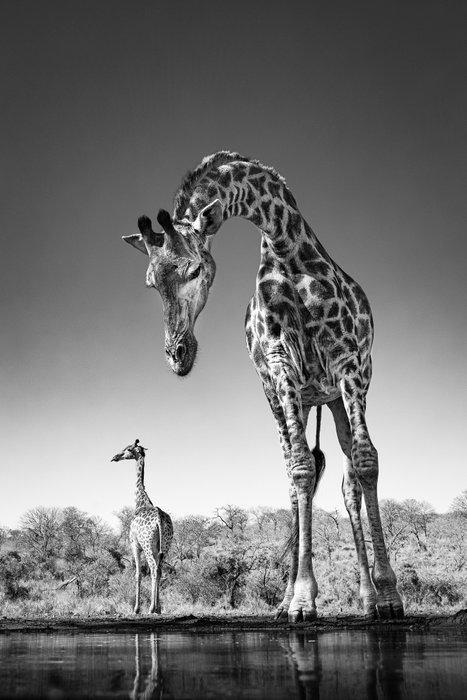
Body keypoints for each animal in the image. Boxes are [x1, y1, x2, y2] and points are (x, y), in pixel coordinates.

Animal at [111, 439, 173, 614]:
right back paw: (157, 608)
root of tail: (159, 518)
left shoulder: (134, 544)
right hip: (165, 545)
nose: (114, 457)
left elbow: (137, 574)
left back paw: (152, 608)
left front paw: (136, 609)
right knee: (159, 569)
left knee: (152, 568)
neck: (140, 501)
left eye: (127, 449)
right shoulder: (155, 547)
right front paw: (156, 607)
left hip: (146, 544)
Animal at [122, 151, 404, 621]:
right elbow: (302, 468)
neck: (286, 243)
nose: (178, 355)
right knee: (293, 475)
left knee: (347, 482)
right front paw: (303, 600)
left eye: (195, 269)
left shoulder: (351, 363)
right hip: (284, 398)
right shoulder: (280, 364)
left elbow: (366, 463)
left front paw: (389, 596)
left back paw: (368, 599)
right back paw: (287, 598)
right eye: (149, 282)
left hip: (333, 398)